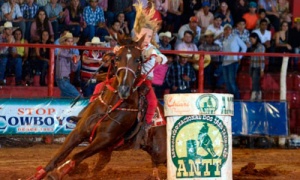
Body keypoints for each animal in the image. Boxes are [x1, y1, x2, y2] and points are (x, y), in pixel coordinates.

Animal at [28, 34, 166, 179]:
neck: (110, 105)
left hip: (159, 153)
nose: (124, 89)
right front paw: (38, 175)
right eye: (117, 58)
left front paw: (56, 173)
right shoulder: (79, 132)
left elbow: (76, 156)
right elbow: (58, 156)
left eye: (138, 59)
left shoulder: (104, 139)